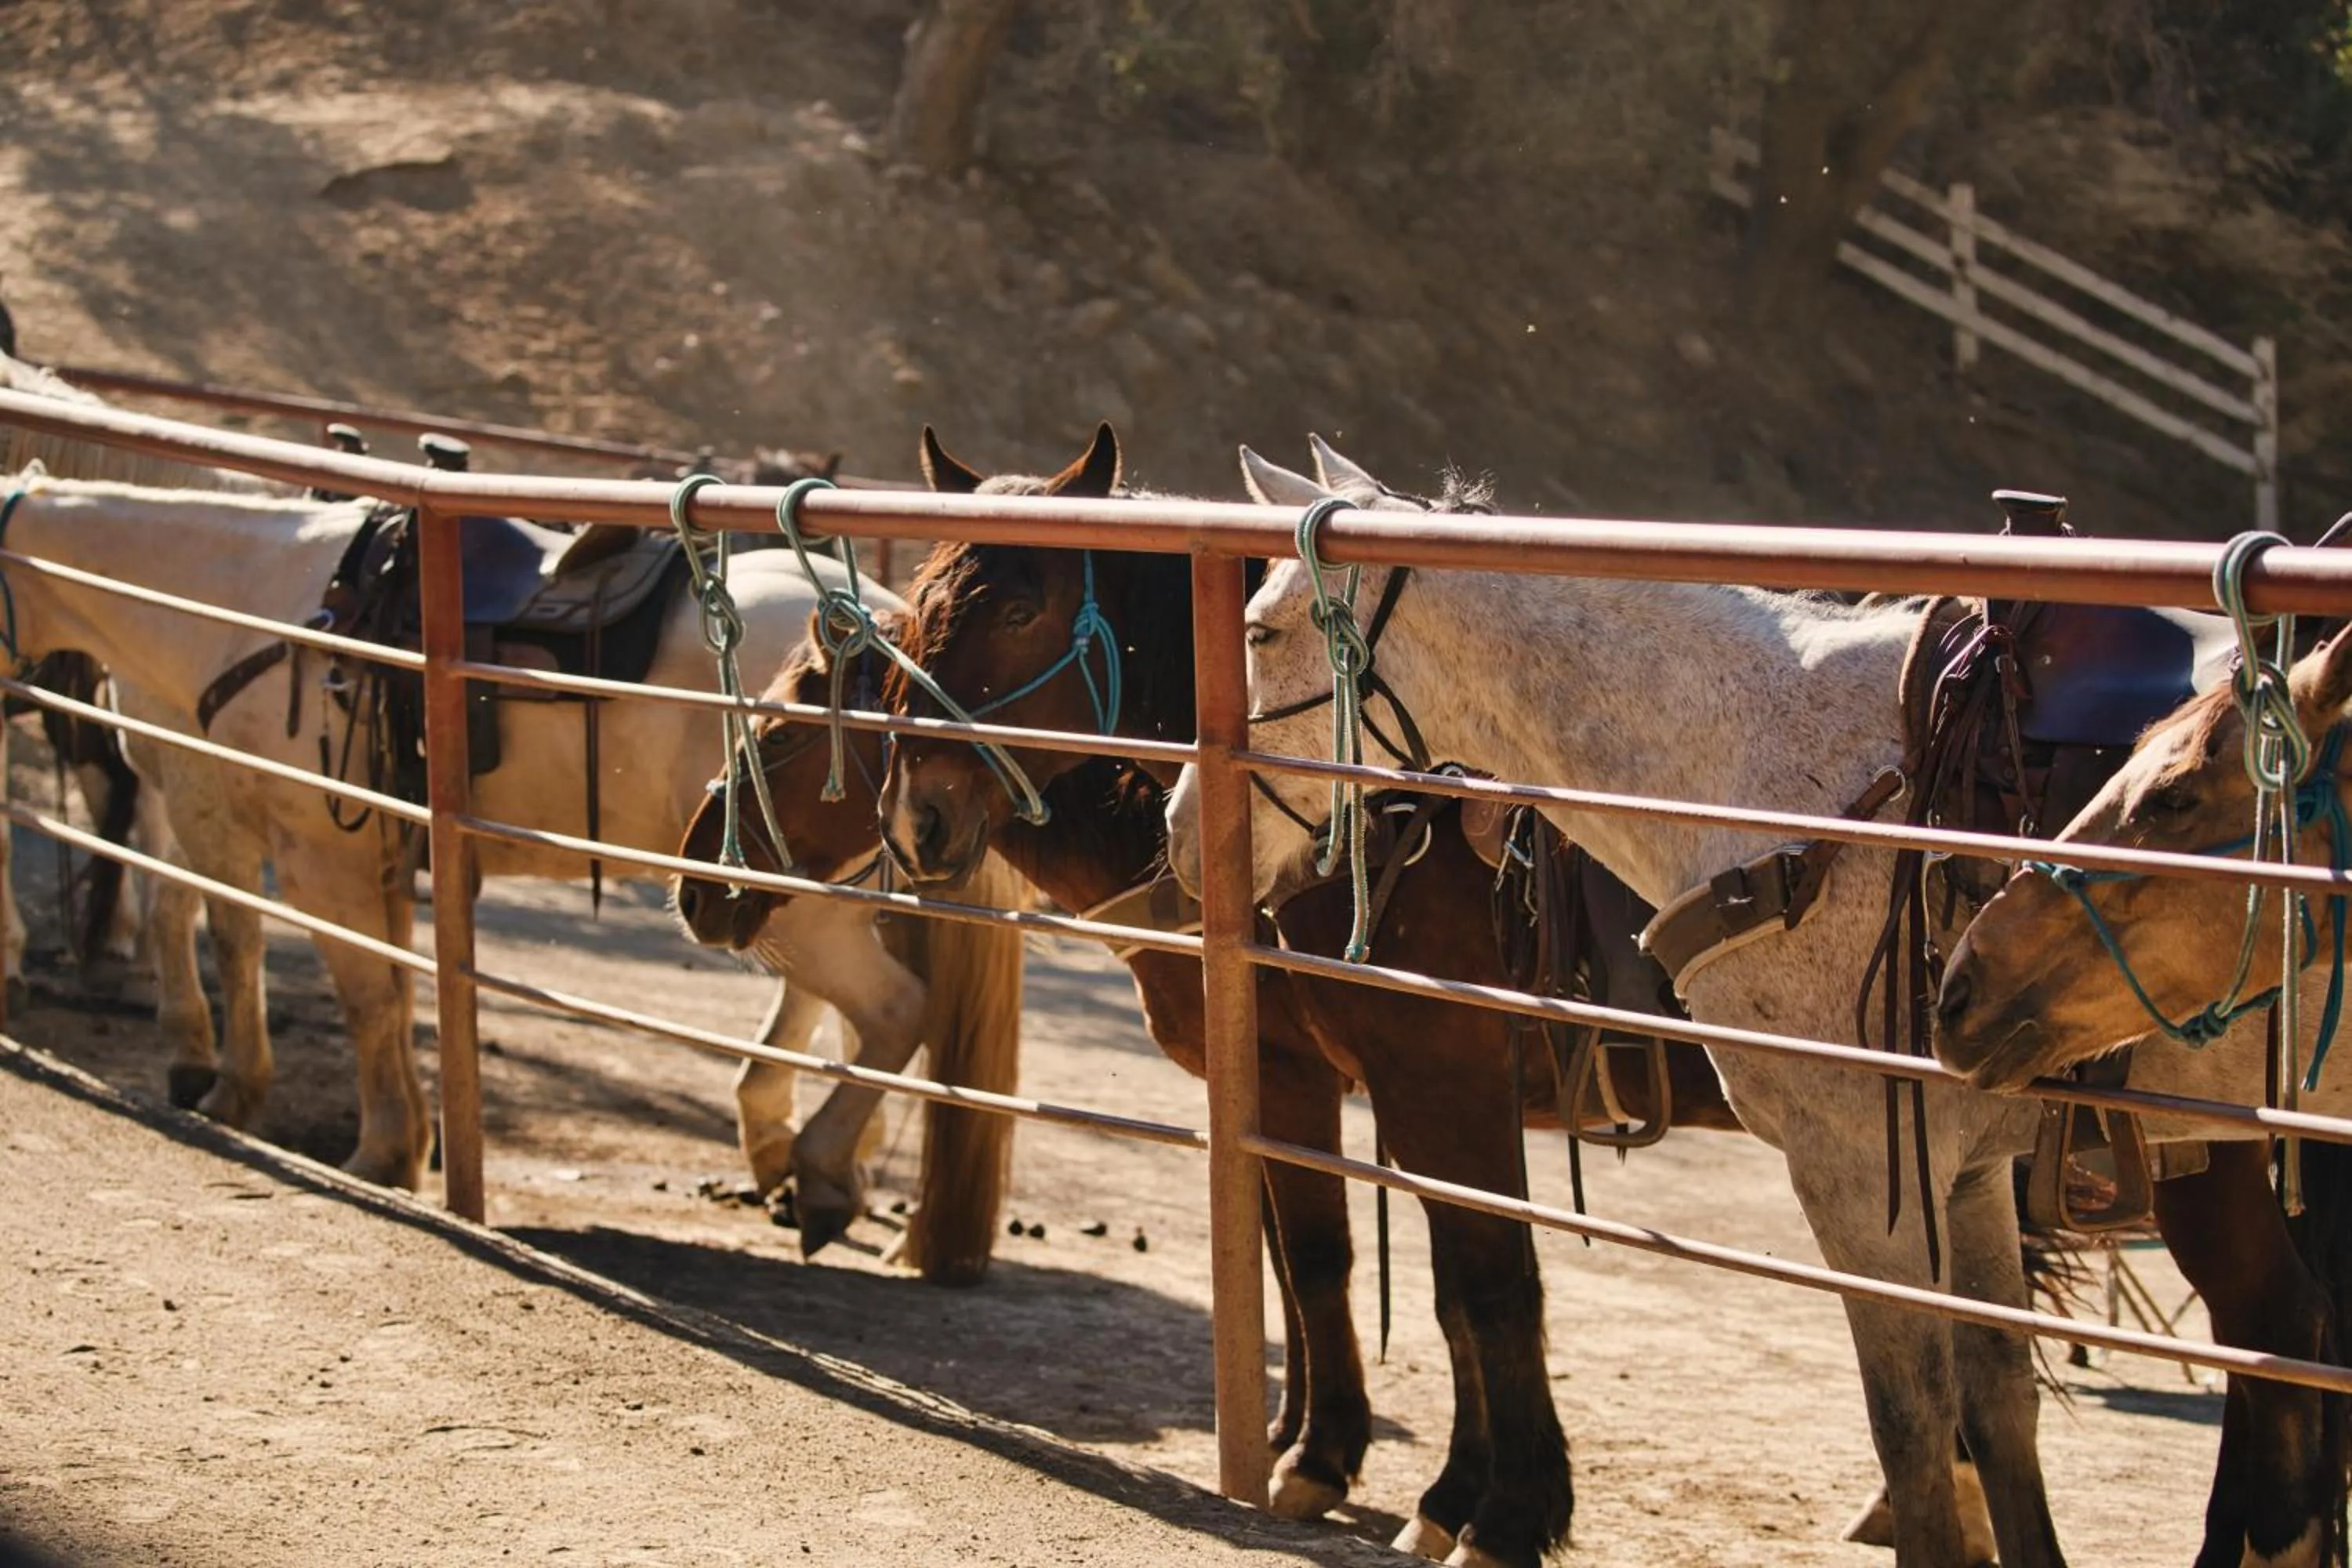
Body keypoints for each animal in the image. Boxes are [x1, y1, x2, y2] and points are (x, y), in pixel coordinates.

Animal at [0, 470, 1023, 1281]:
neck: (247, 604)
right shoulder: (315, 842)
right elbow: (323, 966)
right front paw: (374, 1126)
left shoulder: (303, 848)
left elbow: (332, 979)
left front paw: (361, 1143)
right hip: (796, 901)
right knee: (829, 1015)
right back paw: (789, 1153)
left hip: (796, 904)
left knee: (893, 1011)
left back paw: (816, 1174)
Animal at [1163, 441, 2352, 1568]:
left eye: (1261, 630)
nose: (1182, 831)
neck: (1778, 785)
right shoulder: (1964, 1176)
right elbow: (1997, 1404)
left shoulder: (1857, 1174)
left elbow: (1910, 1427)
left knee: (2280, 1344)